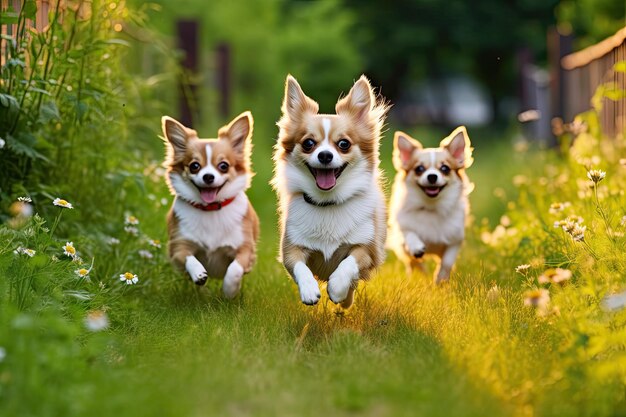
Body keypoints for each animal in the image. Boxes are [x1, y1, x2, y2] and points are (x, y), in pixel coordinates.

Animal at [162, 112, 260, 298]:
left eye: (223, 166)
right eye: (194, 166)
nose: (208, 176)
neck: (210, 208)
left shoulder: (245, 249)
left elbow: (234, 269)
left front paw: (229, 291)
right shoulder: (178, 247)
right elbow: (189, 259)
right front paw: (199, 274)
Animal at [272, 75, 388, 308]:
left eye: (343, 144)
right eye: (308, 143)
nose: (325, 155)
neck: (328, 203)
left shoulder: (368, 249)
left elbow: (349, 263)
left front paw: (337, 288)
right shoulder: (290, 249)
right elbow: (300, 267)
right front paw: (309, 290)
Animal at [388, 127, 470, 282]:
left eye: (445, 168)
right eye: (419, 169)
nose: (432, 176)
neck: (431, 208)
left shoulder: (455, 241)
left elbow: (447, 262)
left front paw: (440, 279)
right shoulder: (403, 233)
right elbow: (410, 234)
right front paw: (416, 247)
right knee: (414, 264)